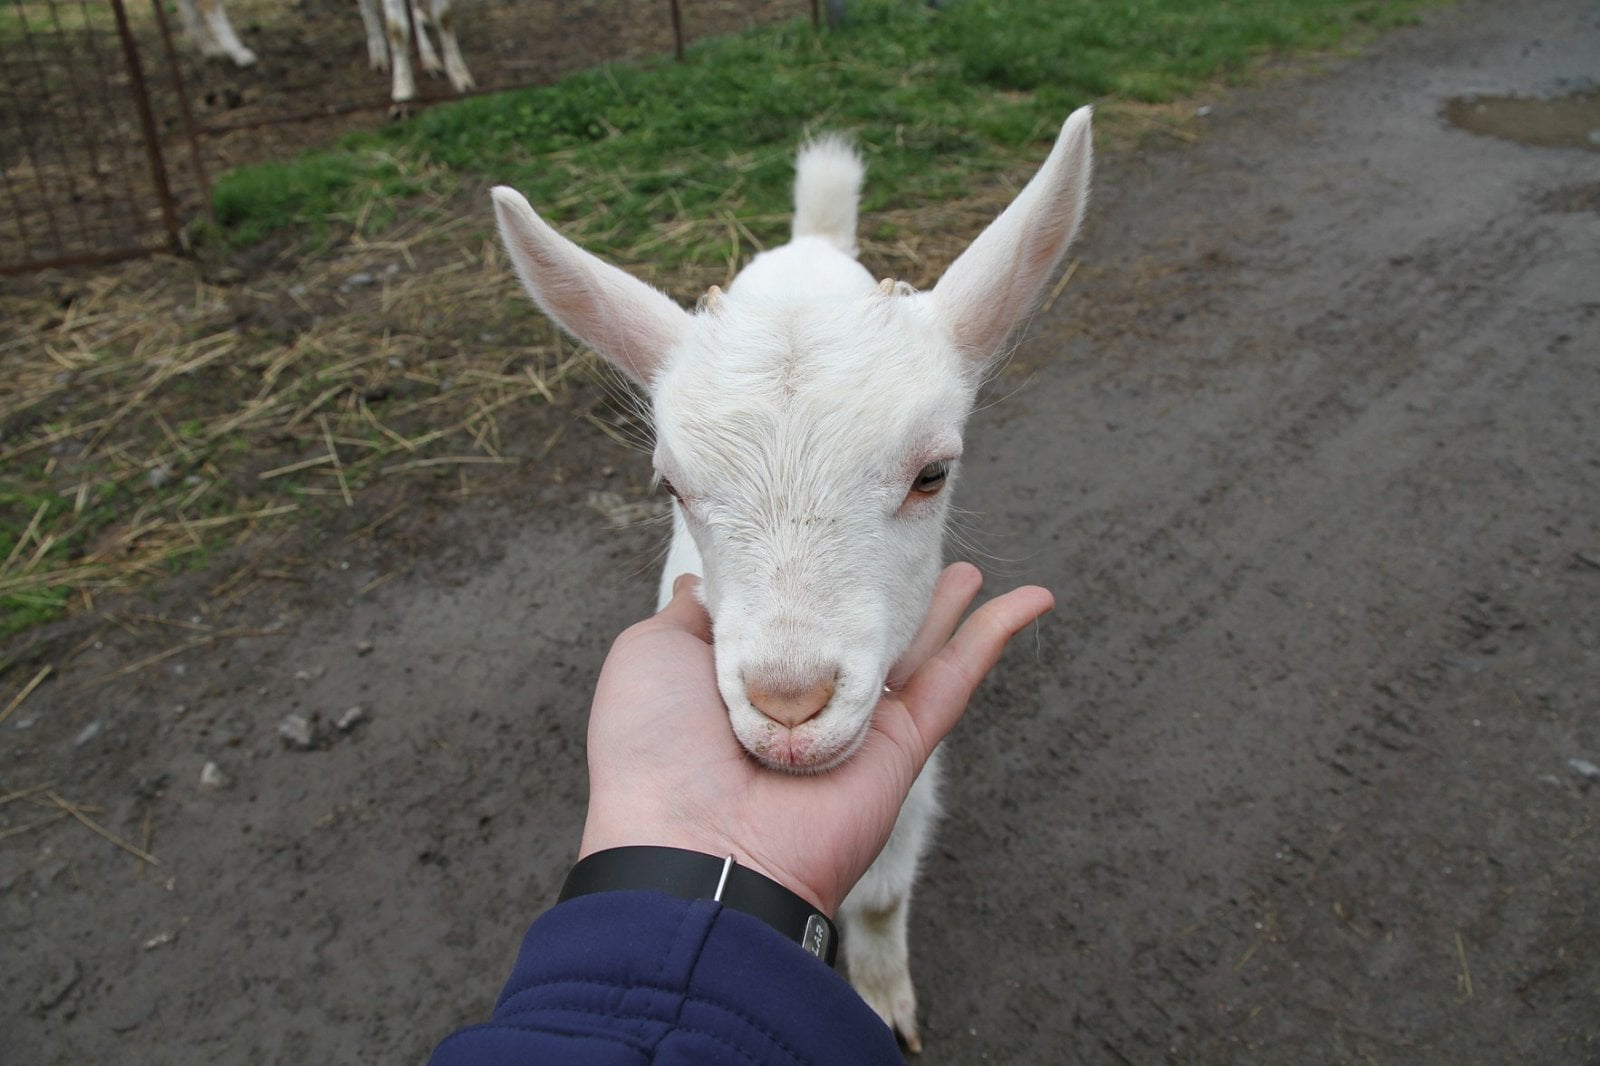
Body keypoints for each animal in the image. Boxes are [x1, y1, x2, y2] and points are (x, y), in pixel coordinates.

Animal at [492, 109, 1094, 1043]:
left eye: (933, 474)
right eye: (671, 486)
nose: (788, 705)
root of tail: (809, 245)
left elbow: (881, 894)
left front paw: (886, 1002)